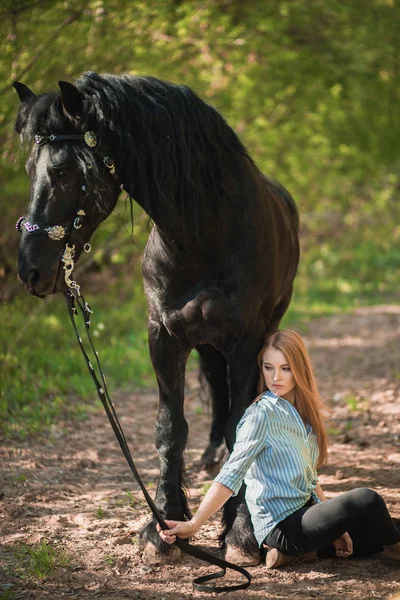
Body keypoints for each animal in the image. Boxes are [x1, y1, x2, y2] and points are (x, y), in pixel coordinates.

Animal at [12, 72, 298, 564]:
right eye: (31, 168)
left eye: (63, 171)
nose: (30, 270)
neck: (205, 234)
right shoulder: (163, 336)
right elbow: (170, 429)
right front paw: (162, 524)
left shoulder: (246, 341)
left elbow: (243, 427)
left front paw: (240, 531)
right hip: (206, 346)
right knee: (216, 393)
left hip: (263, 332)